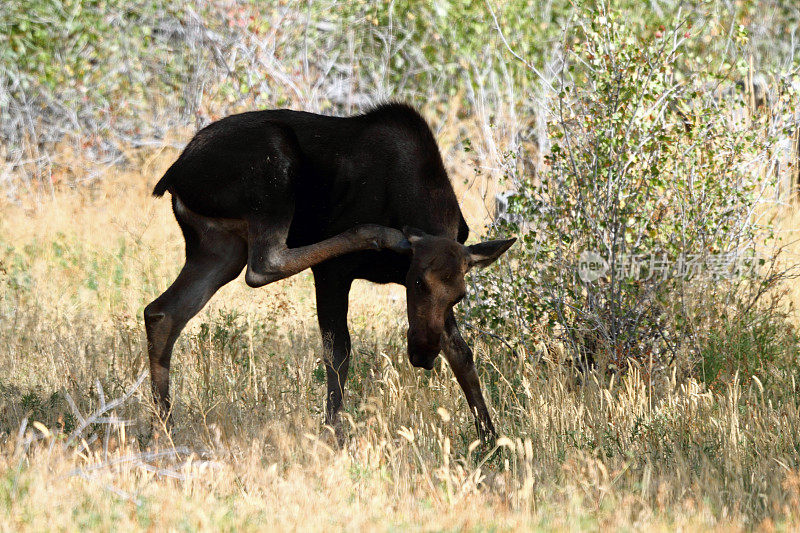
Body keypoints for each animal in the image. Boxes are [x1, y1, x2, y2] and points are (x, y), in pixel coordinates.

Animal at [146, 103, 516, 440]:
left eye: (460, 295)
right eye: (417, 282)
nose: (423, 354)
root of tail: (173, 175)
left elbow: (462, 353)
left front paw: (491, 441)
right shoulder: (332, 273)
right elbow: (338, 352)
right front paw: (334, 434)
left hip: (218, 248)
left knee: (162, 312)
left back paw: (163, 427)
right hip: (272, 178)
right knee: (265, 263)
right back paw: (380, 234)